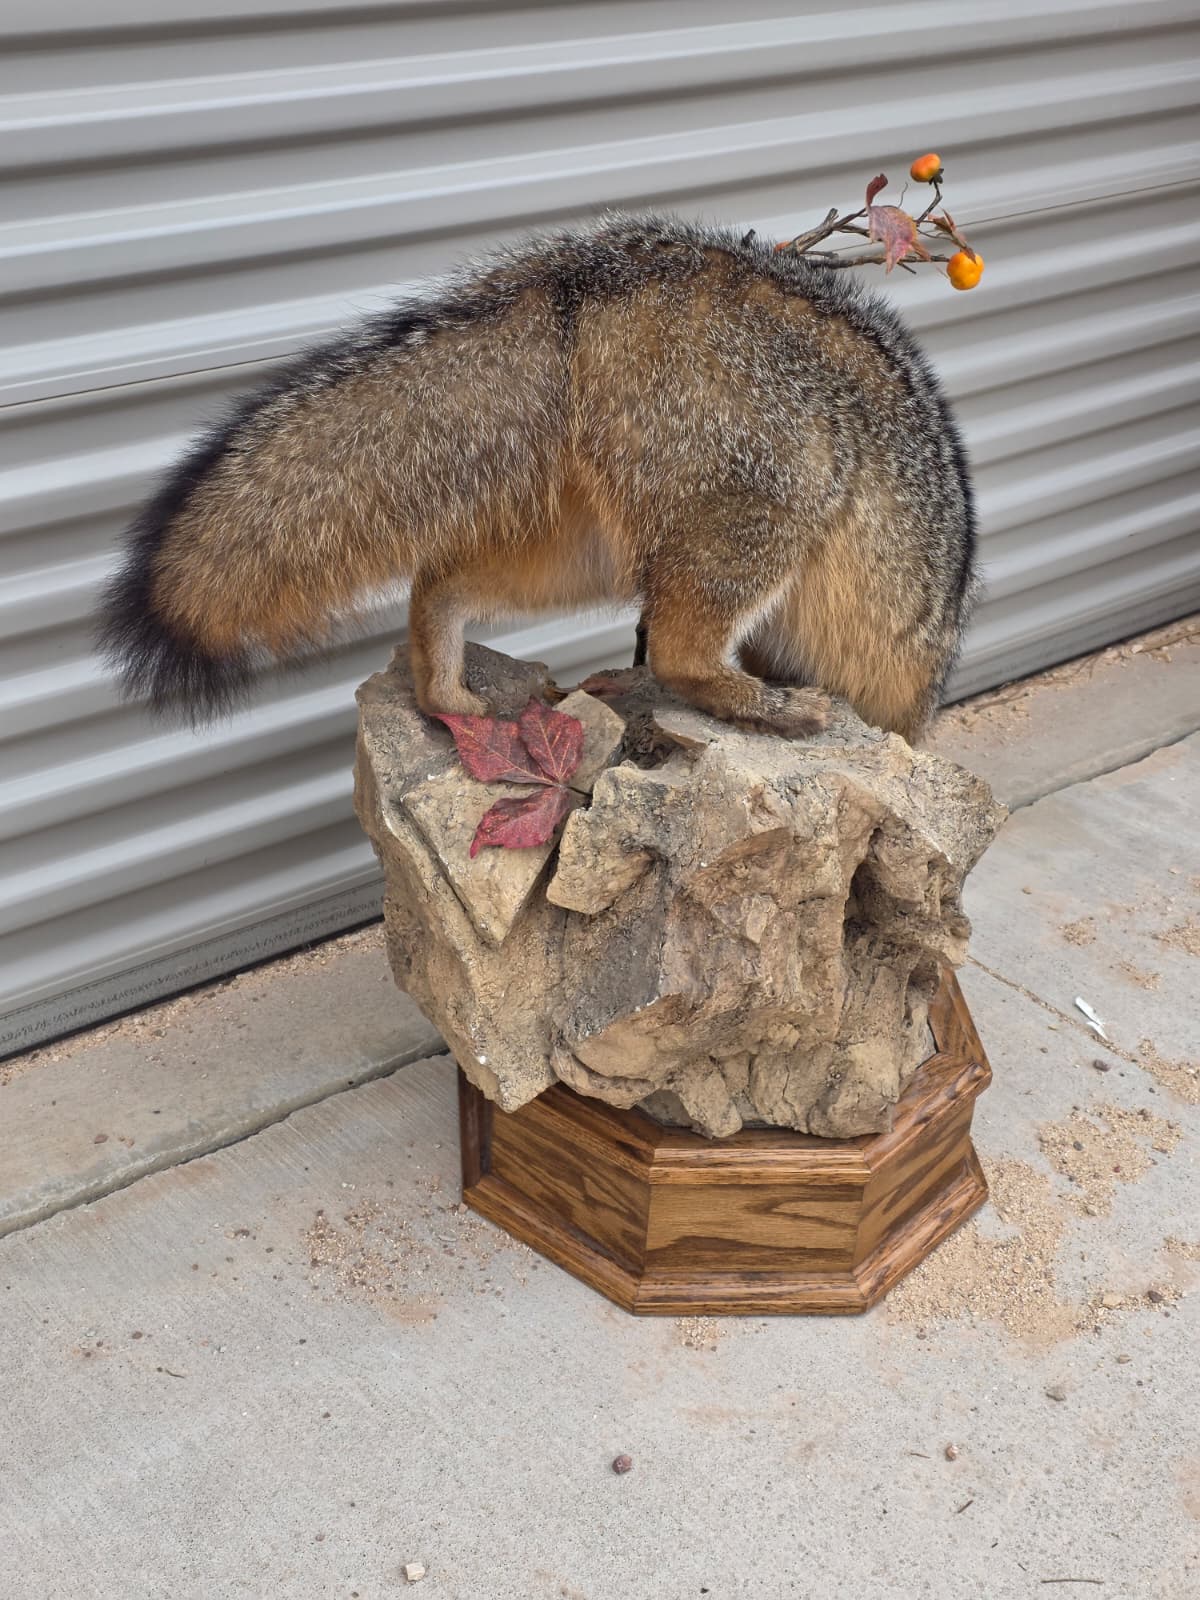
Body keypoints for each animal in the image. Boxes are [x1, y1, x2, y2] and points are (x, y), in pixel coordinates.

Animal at [97, 214, 977, 742]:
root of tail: (589, 270)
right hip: (776, 506)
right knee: (677, 656)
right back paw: (771, 710)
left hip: (589, 560)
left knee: (437, 581)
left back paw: (443, 691)